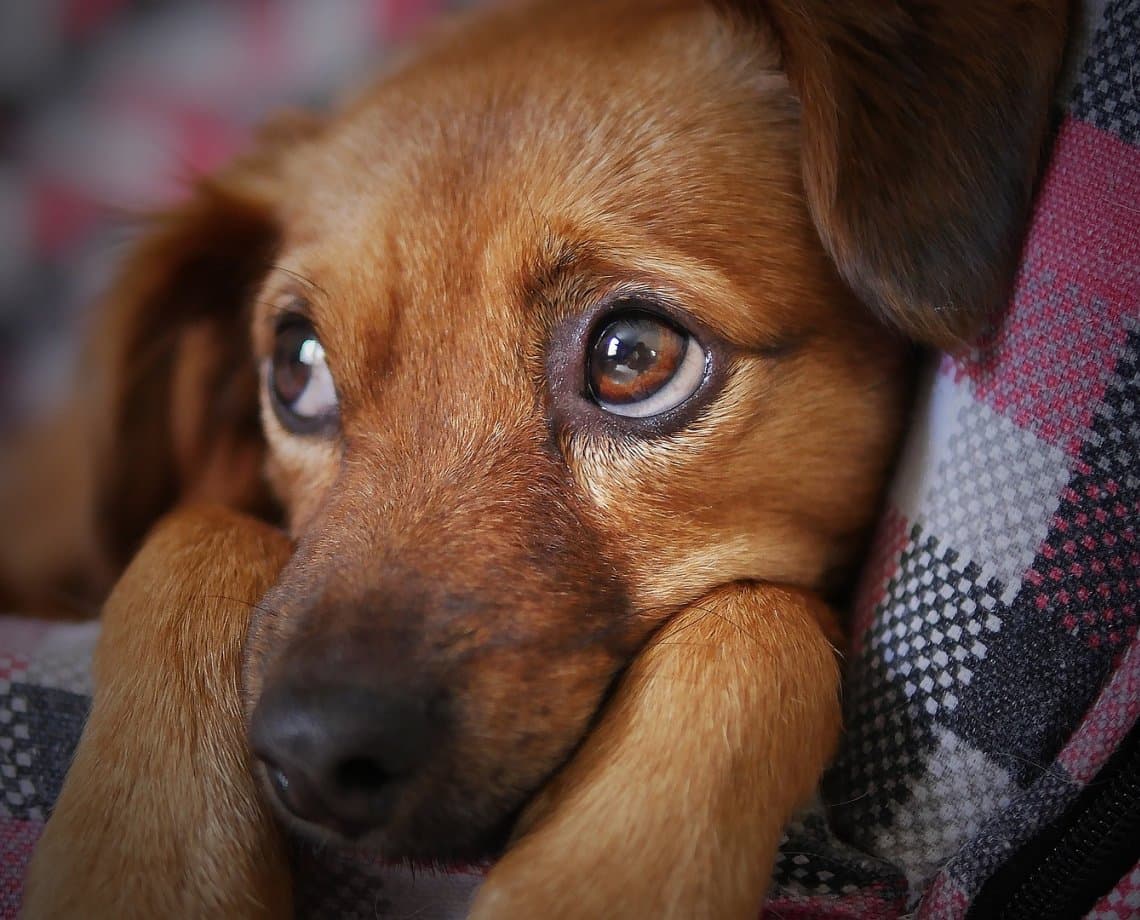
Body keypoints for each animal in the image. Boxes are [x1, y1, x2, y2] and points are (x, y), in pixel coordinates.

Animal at [2, 0, 1067, 916]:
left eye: (633, 356)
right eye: (297, 366)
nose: (312, 756)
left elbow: (757, 620)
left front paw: (597, 878)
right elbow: (194, 533)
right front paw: (144, 869)